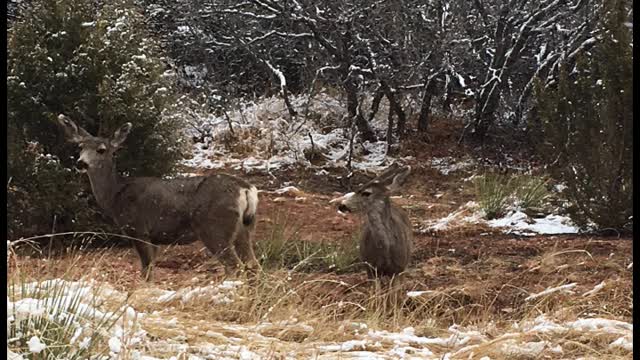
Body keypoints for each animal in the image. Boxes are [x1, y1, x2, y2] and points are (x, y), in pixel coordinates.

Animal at [56, 114, 262, 280]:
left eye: (101, 149)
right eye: (80, 147)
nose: (81, 163)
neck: (115, 195)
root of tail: (246, 189)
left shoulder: (138, 229)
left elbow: (146, 271)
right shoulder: (155, 238)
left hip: (214, 227)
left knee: (234, 266)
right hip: (244, 228)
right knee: (254, 265)